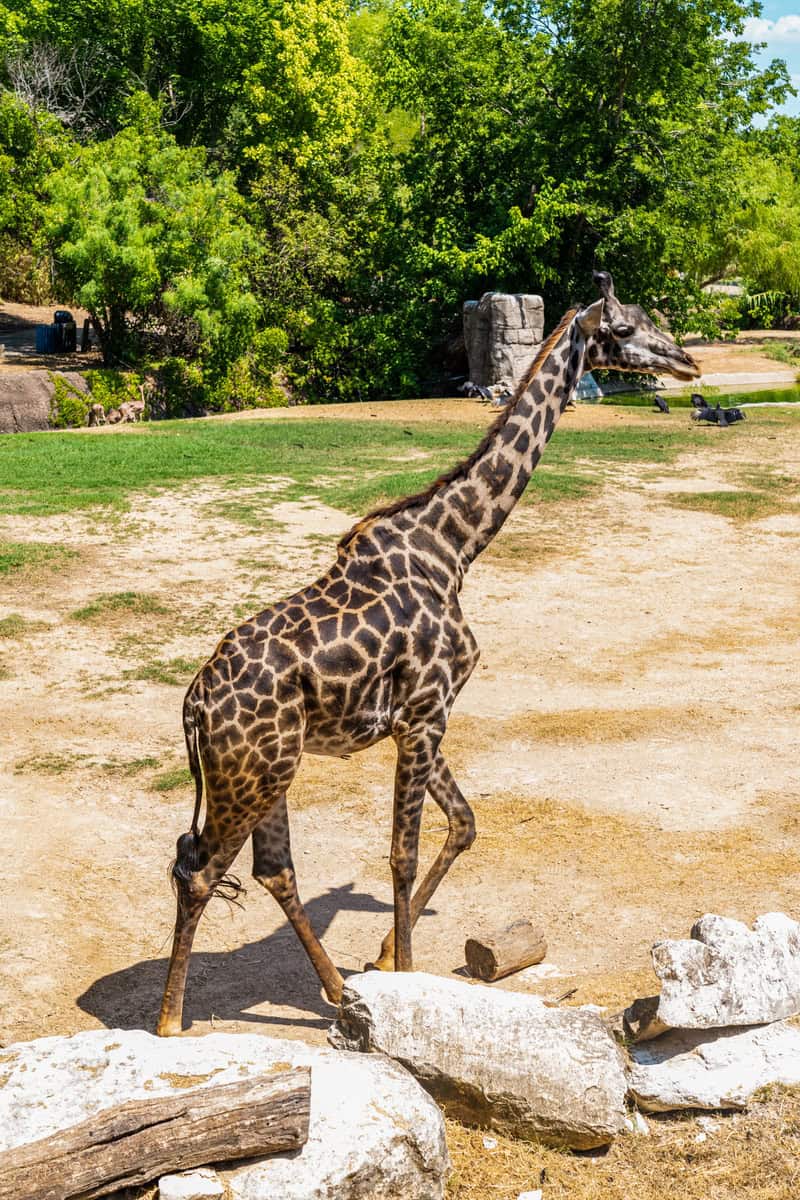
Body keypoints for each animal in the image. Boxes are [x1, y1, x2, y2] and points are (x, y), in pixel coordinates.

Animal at [154, 270, 695, 1032]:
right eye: (621, 330)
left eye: (650, 319)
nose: (687, 364)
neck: (457, 545)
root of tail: (193, 708)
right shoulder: (425, 712)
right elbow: (401, 855)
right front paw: (404, 983)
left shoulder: (418, 718)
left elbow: (463, 823)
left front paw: (384, 959)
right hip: (249, 775)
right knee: (201, 868)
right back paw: (171, 1021)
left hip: (274, 770)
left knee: (268, 867)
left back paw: (335, 989)